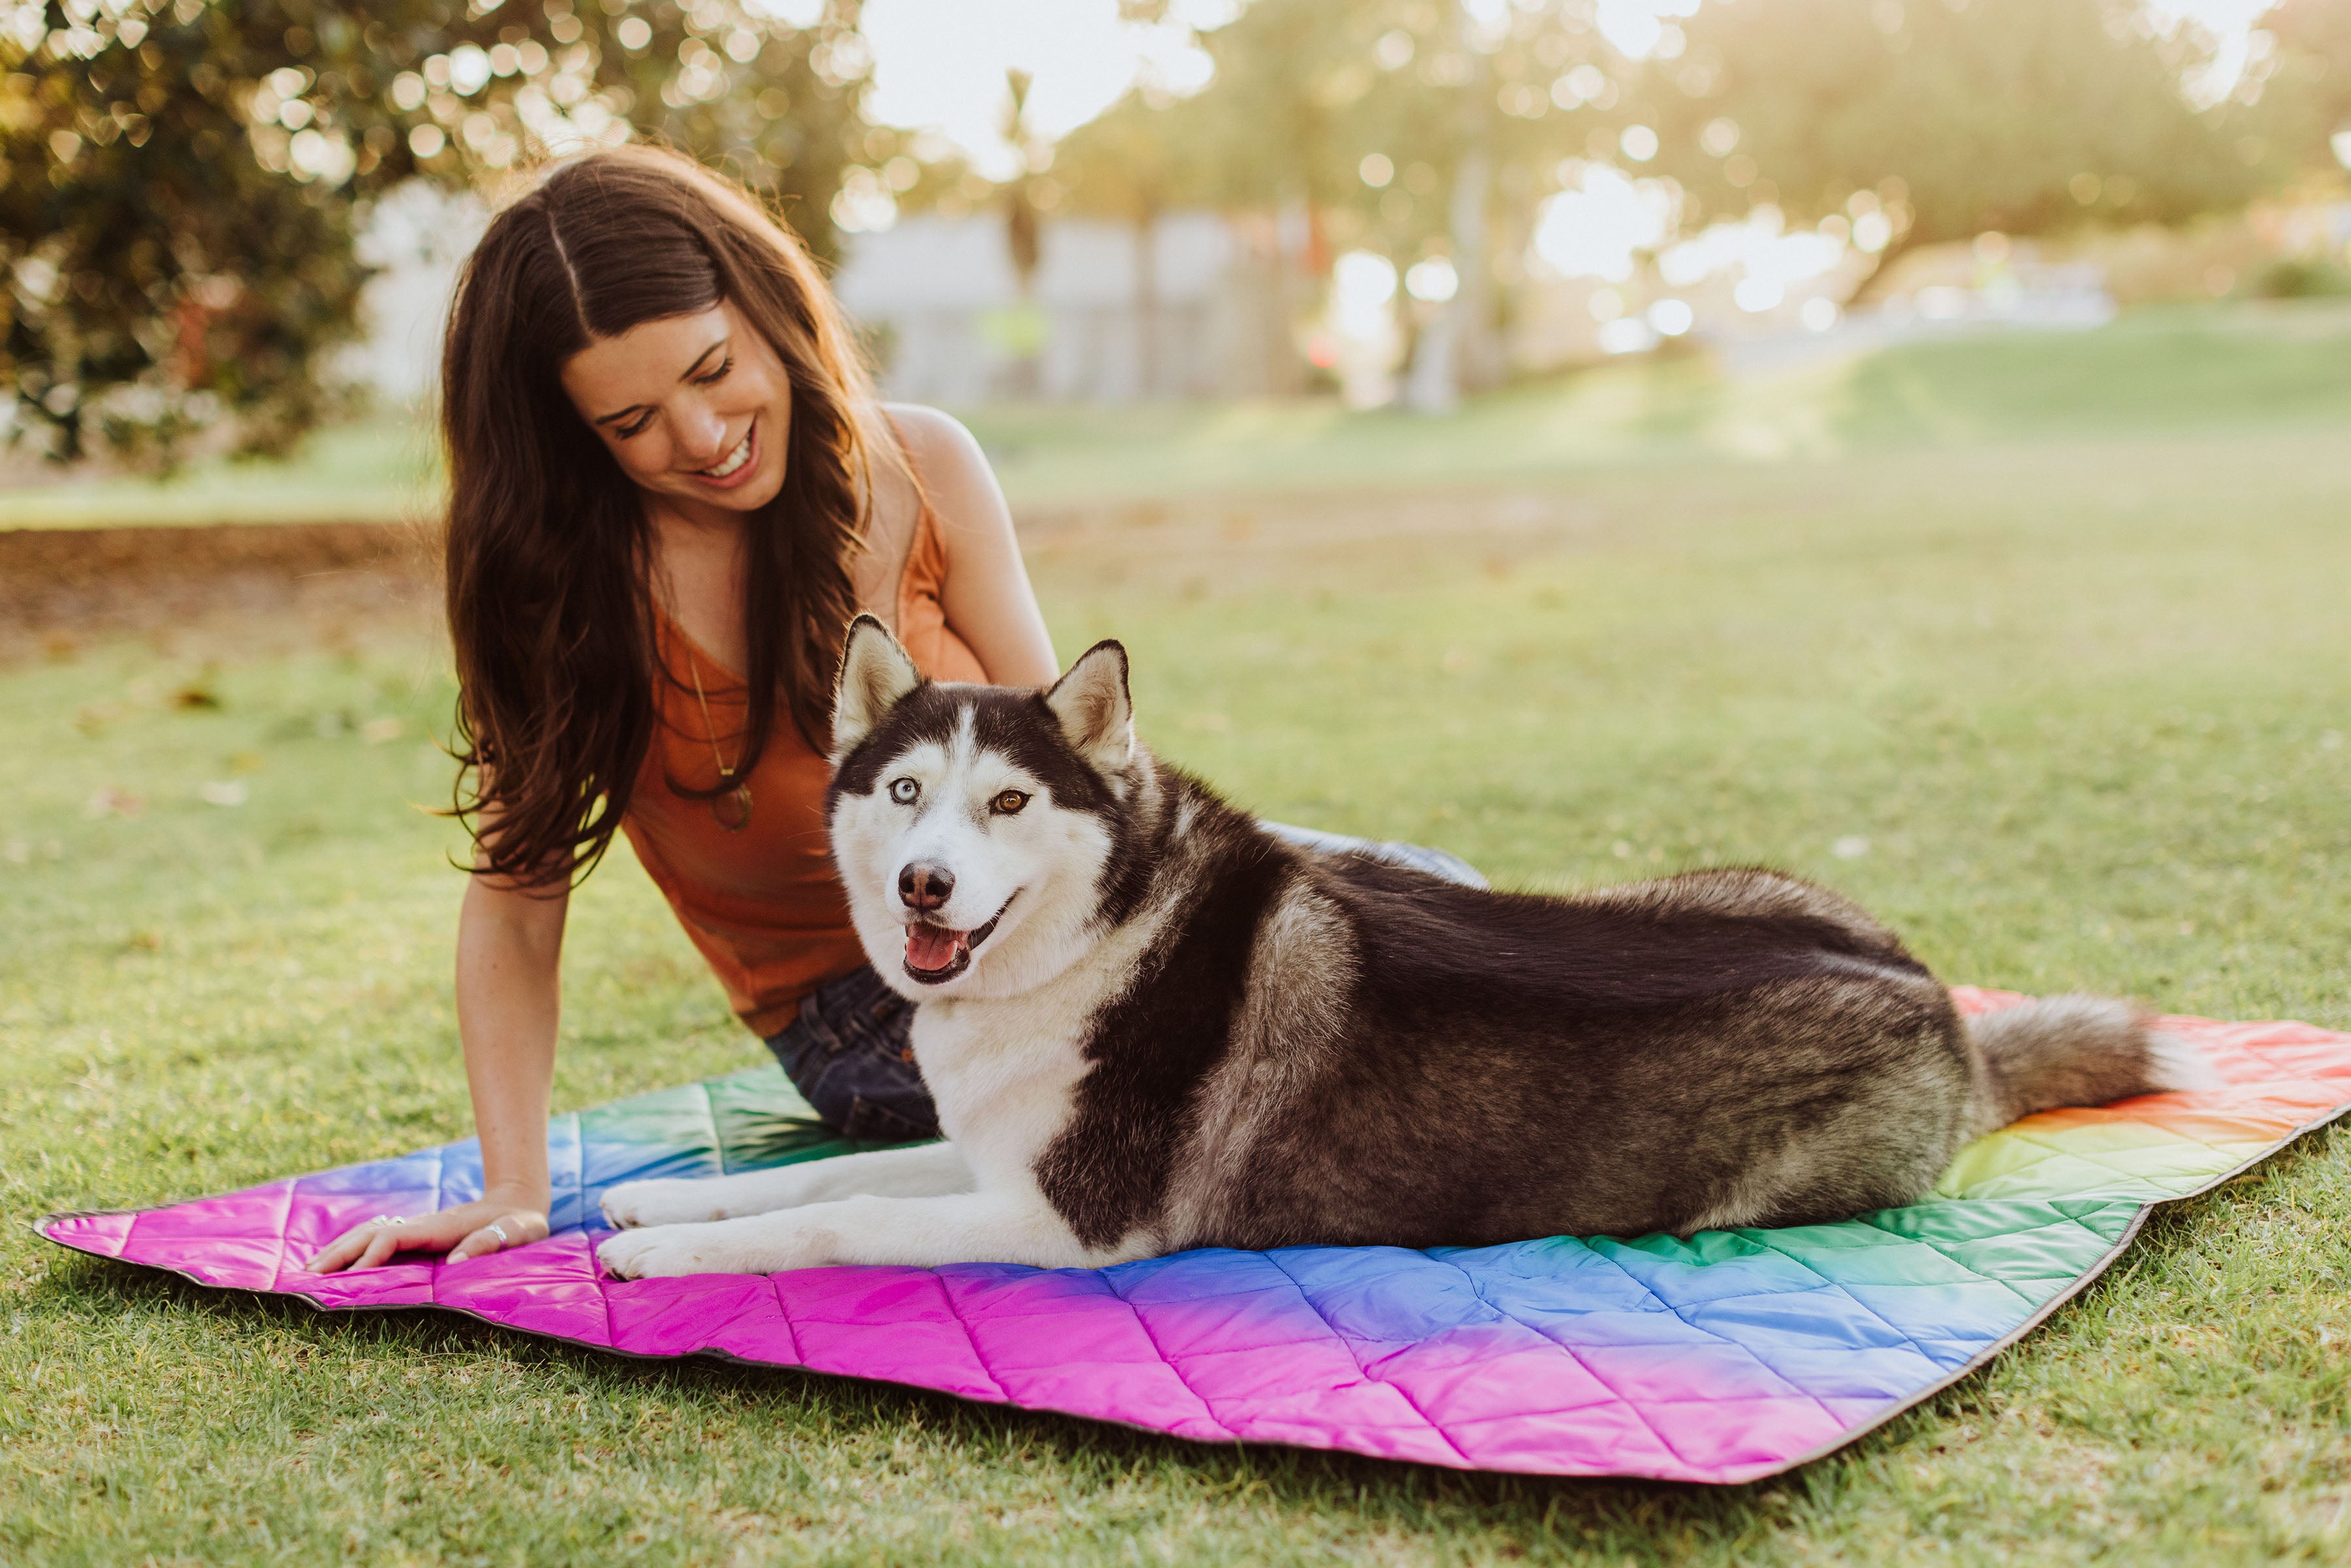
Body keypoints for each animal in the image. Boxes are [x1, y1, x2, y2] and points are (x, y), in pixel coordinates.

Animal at [597, 611, 2210, 1279]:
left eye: (1007, 801)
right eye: (906, 794)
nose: (929, 887)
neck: (1102, 938)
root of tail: (1938, 1003)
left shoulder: (1072, 1222)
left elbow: (836, 1216)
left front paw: (671, 1262)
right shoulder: (993, 1157)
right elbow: (831, 1173)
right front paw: (655, 1208)